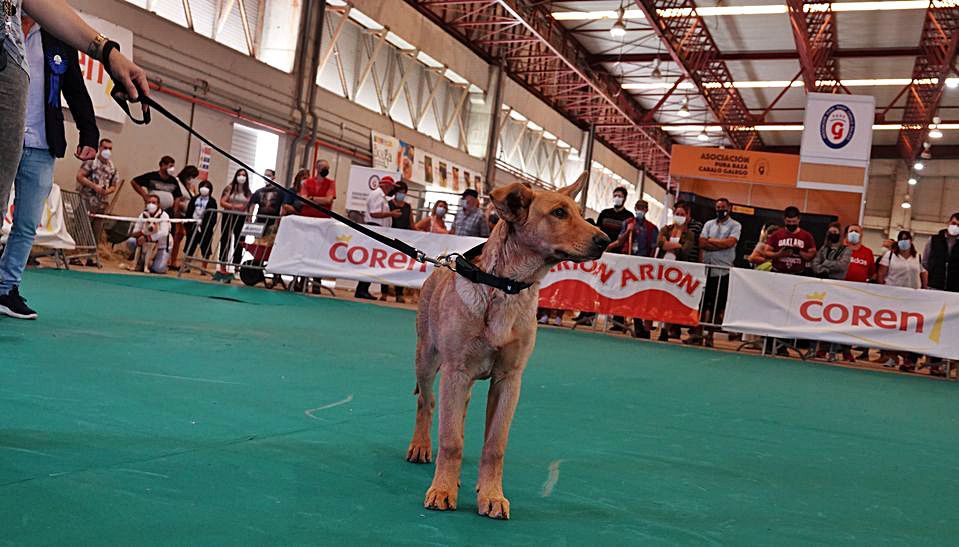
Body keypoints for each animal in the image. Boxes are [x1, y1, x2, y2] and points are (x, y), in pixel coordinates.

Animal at [404, 173, 608, 520]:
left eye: (582, 215)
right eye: (559, 213)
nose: (606, 240)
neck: (505, 288)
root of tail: (440, 264)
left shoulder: (508, 380)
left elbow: (494, 445)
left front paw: (491, 495)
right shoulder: (456, 372)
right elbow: (450, 440)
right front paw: (443, 489)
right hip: (427, 362)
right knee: (426, 404)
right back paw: (421, 446)